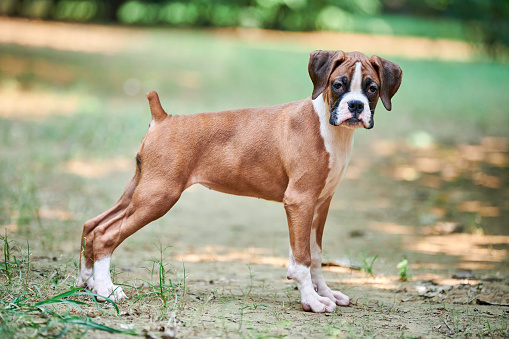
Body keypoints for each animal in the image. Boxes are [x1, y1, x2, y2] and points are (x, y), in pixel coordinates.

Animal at [77, 49, 400, 314]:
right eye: (338, 85)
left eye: (372, 89)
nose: (356, 106)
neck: (328, 127)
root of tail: (163, 117)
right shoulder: (300, 202)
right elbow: (302, 259)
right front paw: (312, 300)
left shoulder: (320, 204)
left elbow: (316, 254)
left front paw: (327, 293)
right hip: (158, 196)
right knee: (105, 235)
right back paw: (107, 291)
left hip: (138, 192)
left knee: (93, 226)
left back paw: (88, 281)